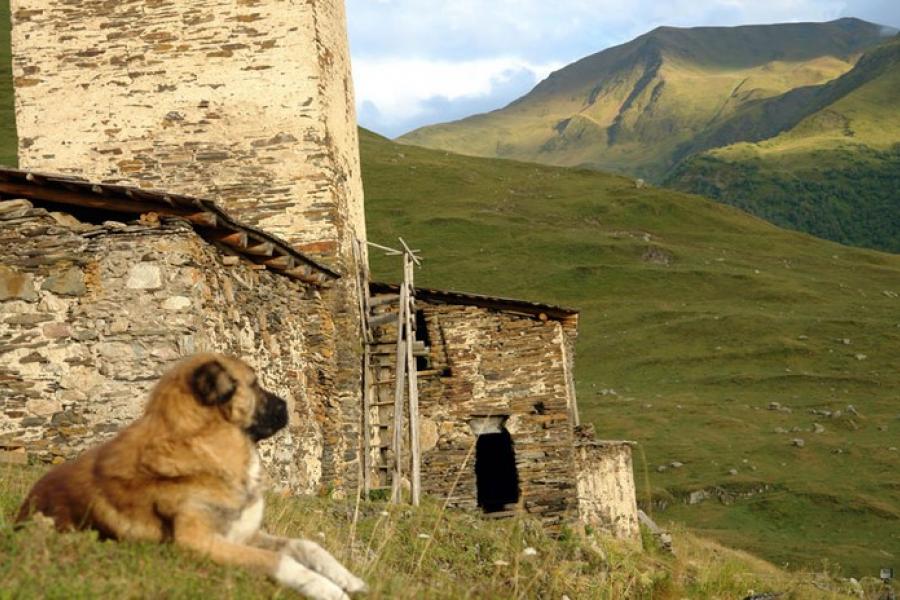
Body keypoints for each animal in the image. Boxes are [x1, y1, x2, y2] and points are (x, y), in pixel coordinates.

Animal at [15, 354, 366, 596]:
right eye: (253, 384)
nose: (289, 406)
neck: (206, 448)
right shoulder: (197, 541)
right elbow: (279, 561)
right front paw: (327, 589)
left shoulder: (242, 533)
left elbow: (307, 545)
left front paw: (348, 579)